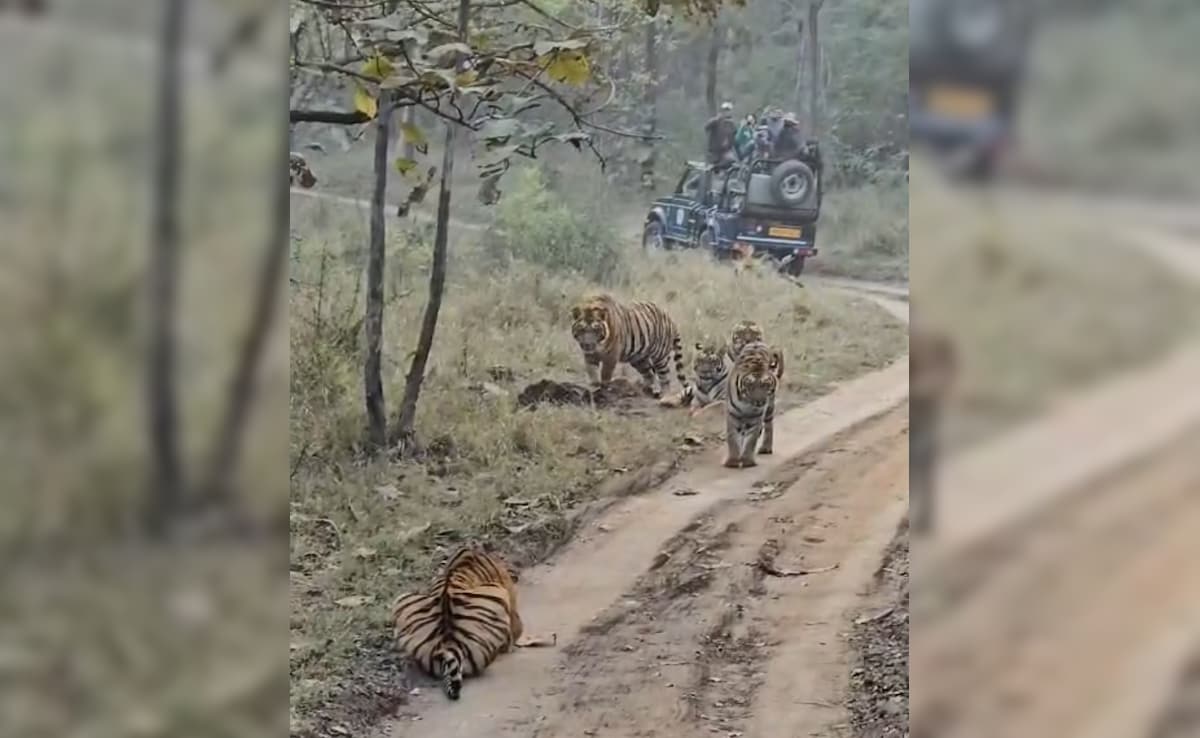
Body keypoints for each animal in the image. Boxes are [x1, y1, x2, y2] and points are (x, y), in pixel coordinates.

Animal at [720, 340, 777, 468]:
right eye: (750, 385)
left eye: (765, 385)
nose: (760, 402)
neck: (747, 403)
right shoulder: (732, 414)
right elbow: (733, 438)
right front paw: (733, 461)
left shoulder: (756, 416)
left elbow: (751, 439)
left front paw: (747, 461)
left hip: (769, 407)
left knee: (769, 425)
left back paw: (766, 447)